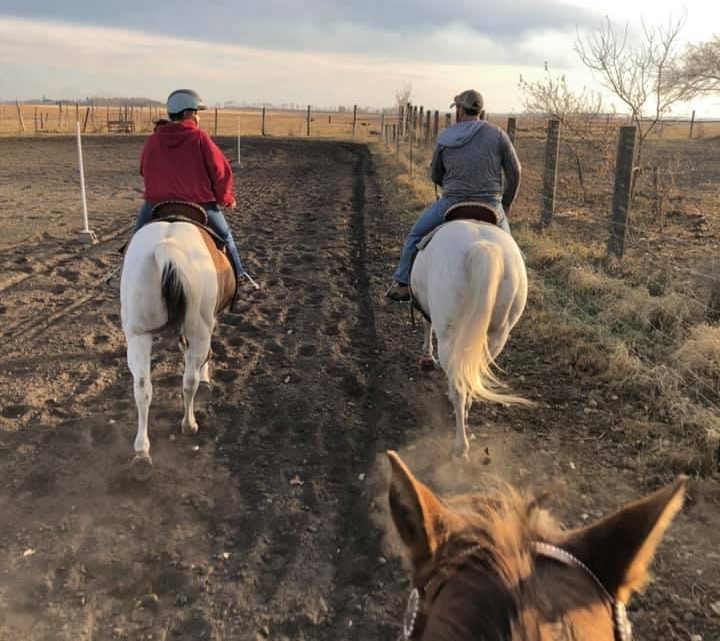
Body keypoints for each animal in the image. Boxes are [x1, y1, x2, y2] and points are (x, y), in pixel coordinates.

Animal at [119, 211, 235, 480]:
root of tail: (165, 250)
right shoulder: (208, 323)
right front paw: (206, 379)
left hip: (138, 334)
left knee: (142, 389)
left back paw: (142, 453)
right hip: (199, 328)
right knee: (189, 381)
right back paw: (189, 424)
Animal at [410, 218, 528, 458]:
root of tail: (483, 249)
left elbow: (426, 324)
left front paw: (426, 357)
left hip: (450, 335)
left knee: (458, 384)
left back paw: (460, 446)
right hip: (497, 335)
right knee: (470, 372)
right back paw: (466, 411)